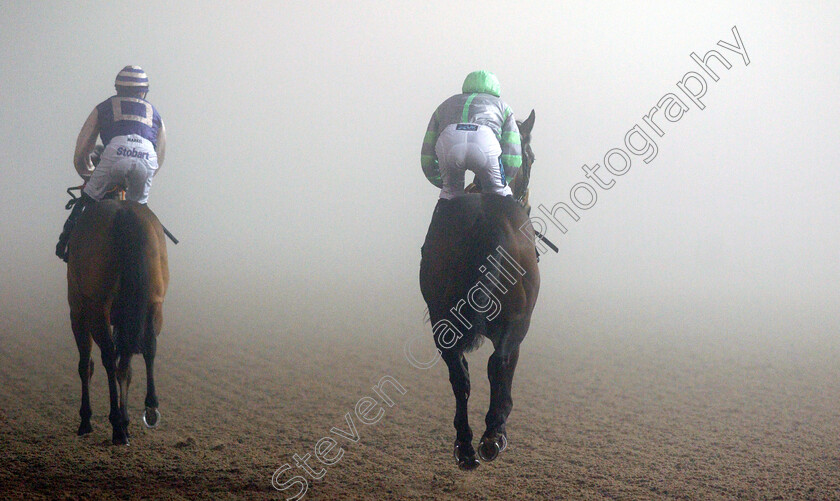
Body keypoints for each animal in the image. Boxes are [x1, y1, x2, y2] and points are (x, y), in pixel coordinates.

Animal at [68, 197, 170, 444]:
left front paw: (86, 420)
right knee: (146, 348)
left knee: (107, 357)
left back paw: (116, 425)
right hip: (154, 302)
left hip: (97, 307)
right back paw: (148, 410)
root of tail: (125, 213)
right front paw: (126, 420)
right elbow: (128, 364)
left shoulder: (78, 310)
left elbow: (85, 364)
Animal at [418, 110, 540, 468]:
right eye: (530, 157)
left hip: (441, 317)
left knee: (459, 373)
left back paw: (465, 446)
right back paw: (492, 437)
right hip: (517, 320)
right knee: (499, 362)